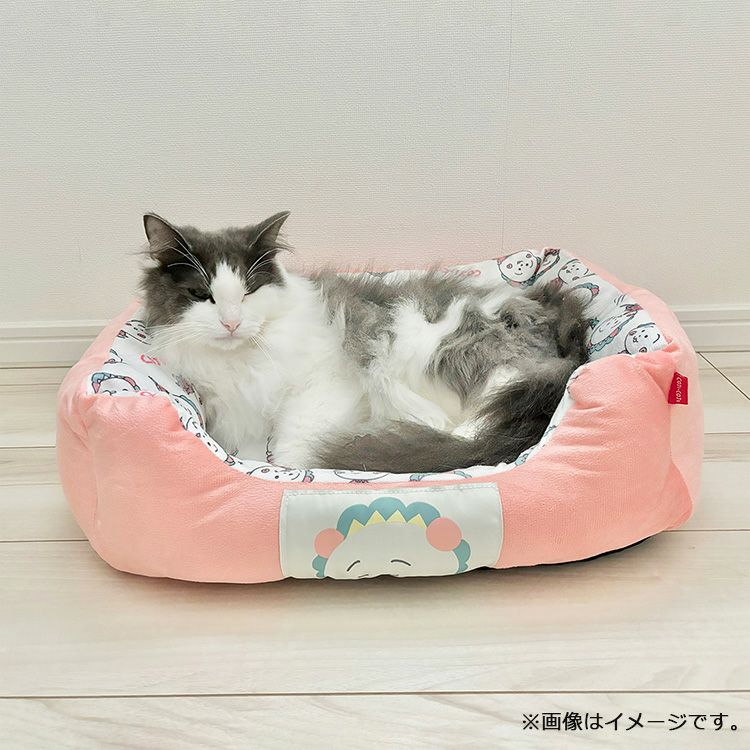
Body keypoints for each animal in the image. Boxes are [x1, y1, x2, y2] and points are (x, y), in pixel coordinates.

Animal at [140, 212, 589, 473]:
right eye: (202, 295)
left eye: (249, 291)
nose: (232, 322)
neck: (240, 362)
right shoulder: (241, 418)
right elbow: (247, 454)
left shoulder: (322, 388)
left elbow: (293, 446)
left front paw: (291, 475)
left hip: (459, 356)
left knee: (474, 429)